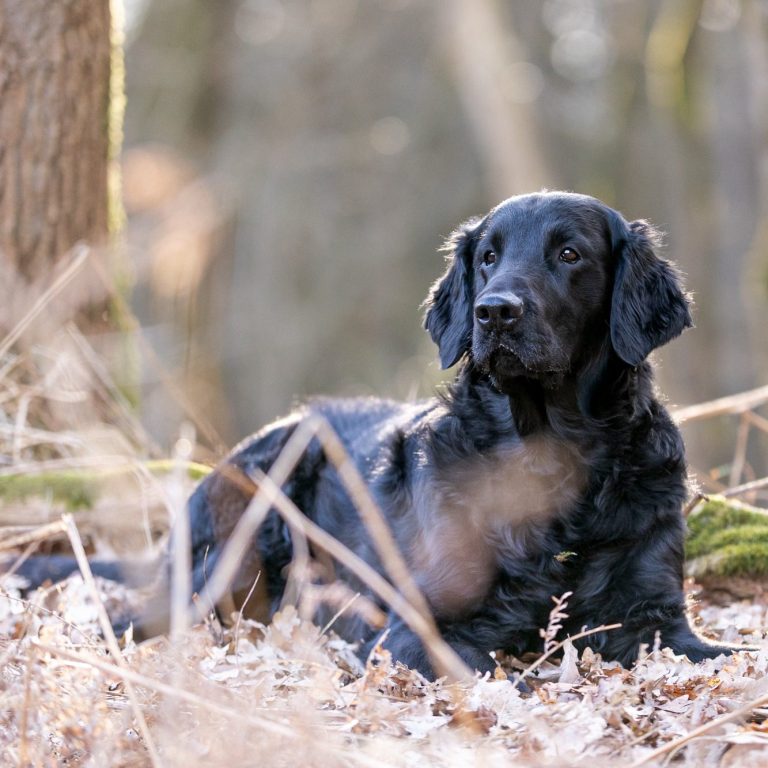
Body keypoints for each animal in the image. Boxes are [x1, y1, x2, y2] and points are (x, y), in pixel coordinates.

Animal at [184, 194, 732, 680]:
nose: (494, 311)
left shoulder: (653, 615)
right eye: (489, 257)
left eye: (569, 254)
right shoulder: (412, 625)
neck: (548, 454)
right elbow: (496, 676)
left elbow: (717, 654)